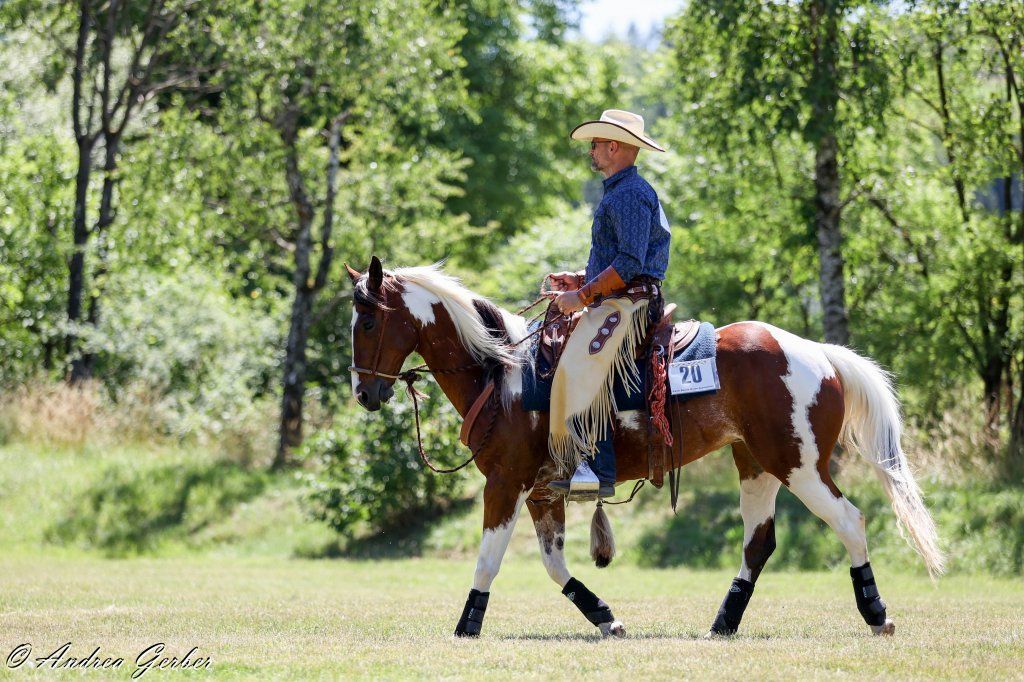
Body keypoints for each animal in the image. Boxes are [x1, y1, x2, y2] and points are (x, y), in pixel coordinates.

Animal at [346, 256, 944, 639]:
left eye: (369, 320)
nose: (365, 393)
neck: (505, 375)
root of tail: (818, 353)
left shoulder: (506, 484)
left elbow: (489, 562)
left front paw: (467, 625)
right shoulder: (542, 493)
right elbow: (555, 565)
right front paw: (606, 616)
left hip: (799, 464)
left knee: (849, 521)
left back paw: (876, 613)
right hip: (756, 464)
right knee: (759, 543)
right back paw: (723, 623)